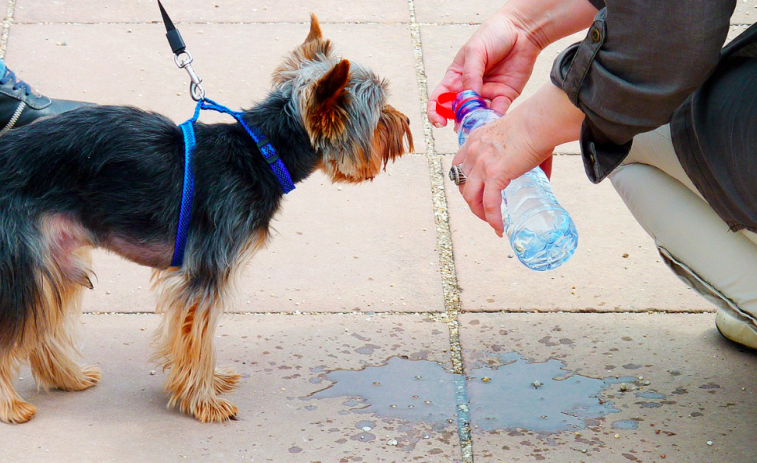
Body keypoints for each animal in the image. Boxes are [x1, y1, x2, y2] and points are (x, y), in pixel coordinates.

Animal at [0, 15, 414, 424]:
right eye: (380, 114)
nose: (407, 121)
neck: (261, 151)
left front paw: (209, 384)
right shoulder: (207, 272)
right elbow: (197, 337)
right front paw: (204, 401)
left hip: (55, 255)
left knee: (42, 319)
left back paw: (67, 377)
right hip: (21, 254)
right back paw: (12, 406)